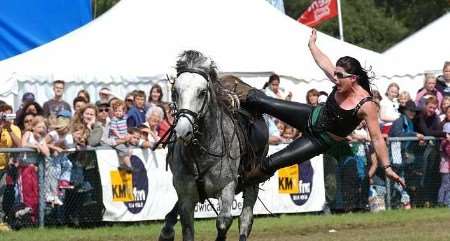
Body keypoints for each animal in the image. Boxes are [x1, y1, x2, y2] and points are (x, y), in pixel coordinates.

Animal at [159, 49, 268, 241]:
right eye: (174, 91)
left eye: (202, 92)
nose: (182, 131)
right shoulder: (185, 197)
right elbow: (187, 227)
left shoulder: (227, 187)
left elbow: (223, 221)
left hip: (253, 180)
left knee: (245, 219)